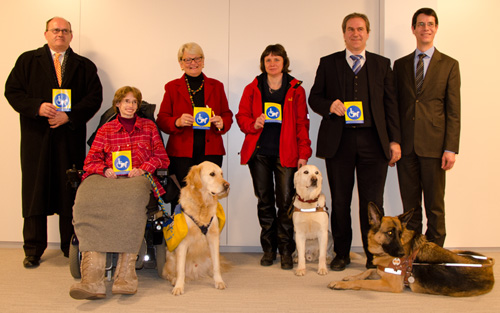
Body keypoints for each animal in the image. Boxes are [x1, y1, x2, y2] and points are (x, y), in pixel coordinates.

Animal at [162, 161, 229, 294]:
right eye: (212, 174)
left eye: (221, 174)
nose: (227, 185)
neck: (202, 205)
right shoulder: (183, 243)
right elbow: (180, 270)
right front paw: (179, 287)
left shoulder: (214, 238)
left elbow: (217, 266)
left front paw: (219, 281)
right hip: (170, 258)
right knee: (170, 273)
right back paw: (174, 280)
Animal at [328, 202, 496, 294]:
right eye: (390, 233)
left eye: (400, 233)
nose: (403, 254)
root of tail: (489, 266)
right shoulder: (381, 271)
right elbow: (368, 271)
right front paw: (351, 276)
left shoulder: (390, 284)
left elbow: (363, 282)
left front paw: (343, 284)